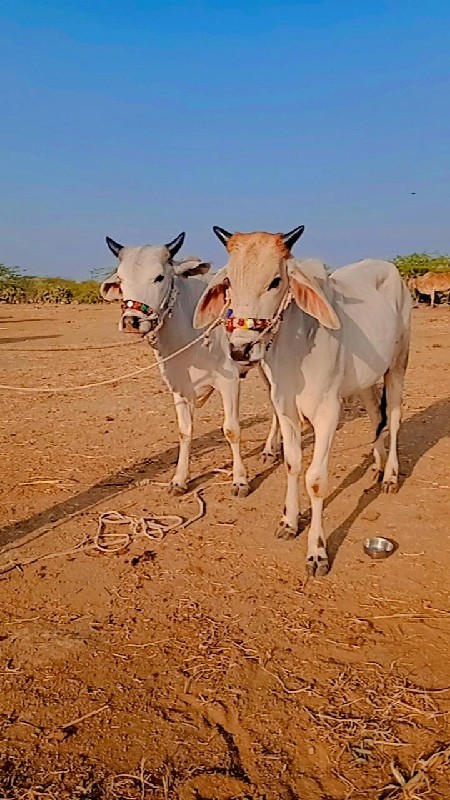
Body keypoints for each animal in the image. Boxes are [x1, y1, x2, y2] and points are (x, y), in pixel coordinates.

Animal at [100, 233, 280, 494]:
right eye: (121, 280)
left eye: (159, 277)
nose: (132, 321)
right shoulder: (179, 388)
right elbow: (185, 432)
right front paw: (179, 479)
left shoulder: (229, 382)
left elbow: (232, 430)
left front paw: (240, 479)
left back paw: (269, 449)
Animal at [193, 225, 412, 576]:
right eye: (229, 283)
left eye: (275, 281)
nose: (240, 349)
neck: (297, 345)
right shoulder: (285, 408)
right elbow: (292, 463)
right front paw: (289, 521)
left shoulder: (327, 412)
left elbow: (316, 480)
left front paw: (317, 552)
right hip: (367, 377)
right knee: (373, 412)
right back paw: (377, 464)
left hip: (398, 364)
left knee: (392, 415)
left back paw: (390, 474)